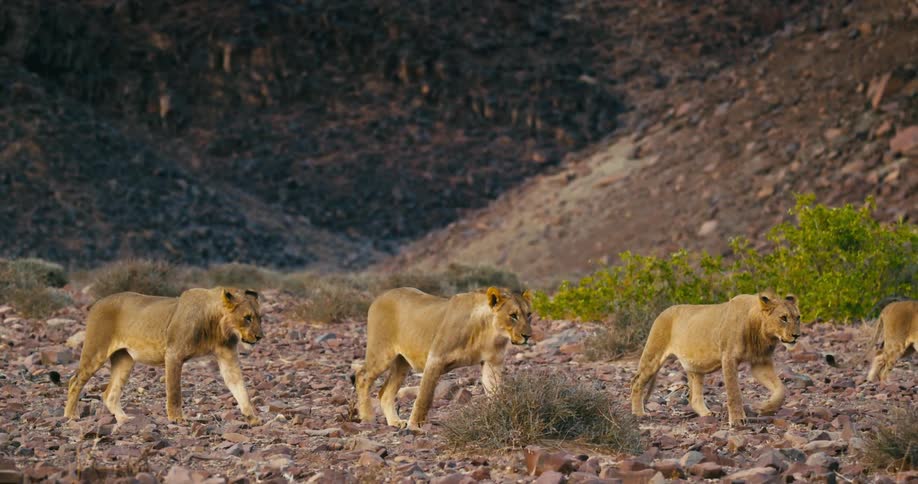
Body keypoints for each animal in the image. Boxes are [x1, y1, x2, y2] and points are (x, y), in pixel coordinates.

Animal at [64, 287, 264, 426]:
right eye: (247, 318)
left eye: (259, 317)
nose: (260, 336)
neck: (217, 326)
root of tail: (97, 303)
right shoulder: (174, 354)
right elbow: (174, 391)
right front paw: (176, 419)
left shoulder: (227, 355)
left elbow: (239, 386)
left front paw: (252, 416)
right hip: (96, 350)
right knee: (75, 381)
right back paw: (71, 415)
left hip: (124, 359)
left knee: (109, 393)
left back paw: (124, 419)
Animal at [353, 286, 532, 432]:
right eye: (513, 315)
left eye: (529, 315)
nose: (528, 336)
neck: (489, 333)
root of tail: (381, 296)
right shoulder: (436, 358)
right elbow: (424, 397)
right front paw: (415, 425)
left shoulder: (492, 363)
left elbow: (494, 392)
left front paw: (498, 414)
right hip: (382, 353)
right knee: (362, 376)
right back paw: (367, 417)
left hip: (402, 363)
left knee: (384, 392)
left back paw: (395, 422)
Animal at [630, 293, 801, 427]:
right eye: (783, 318)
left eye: (798, 317)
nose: (797, 335)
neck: (762, 334)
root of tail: (662, 312)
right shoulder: (729, 357)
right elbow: (734, 392)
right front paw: (738, 420)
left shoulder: (760, 363)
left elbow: (781, 390)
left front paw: (764, 407)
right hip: (653, 355)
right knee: (636, 382)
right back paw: (639, 413)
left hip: (695, 367)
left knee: (694, 397)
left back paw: (708, 414)